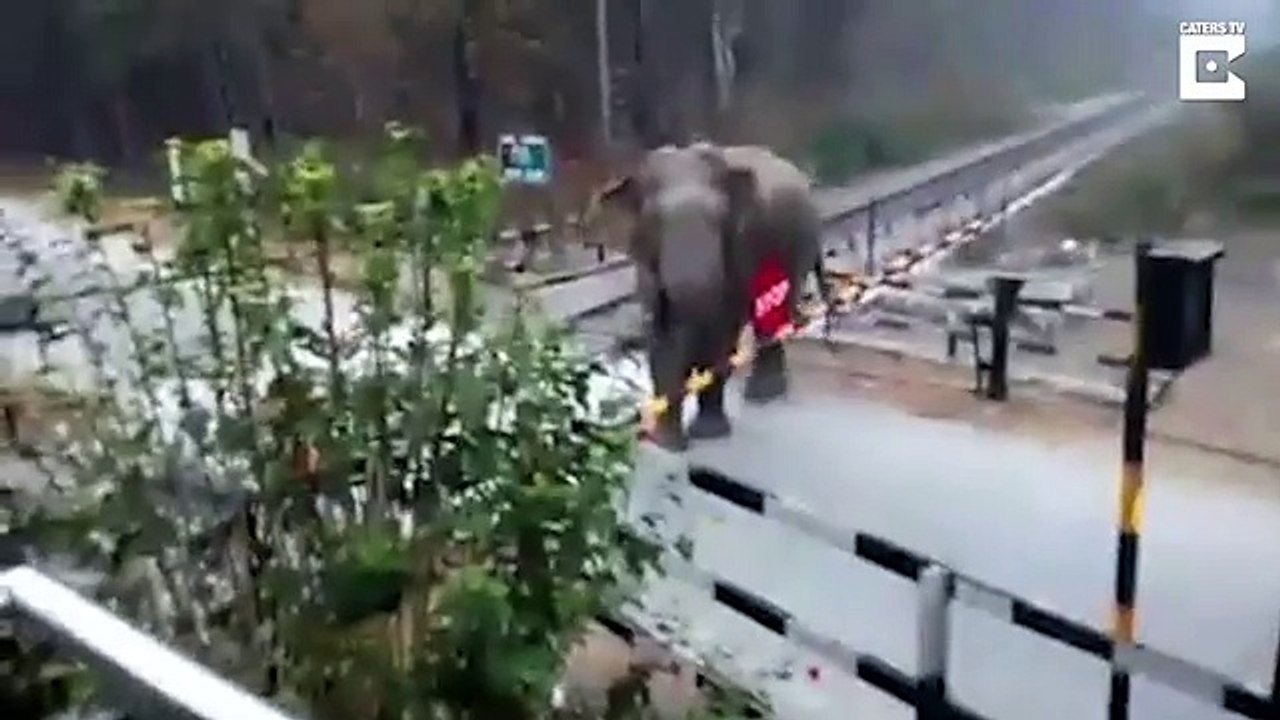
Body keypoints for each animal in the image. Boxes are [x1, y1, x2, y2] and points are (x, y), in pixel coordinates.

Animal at [597, 143, 829, 451]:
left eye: (719, 219)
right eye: (654, 220)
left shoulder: (740, 248)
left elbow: (720, 332)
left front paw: (707, 433)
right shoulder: (645, 265)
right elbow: (661, 339)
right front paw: (667, 443)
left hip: (795, 247)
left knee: (772, 315)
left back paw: (763, 394)